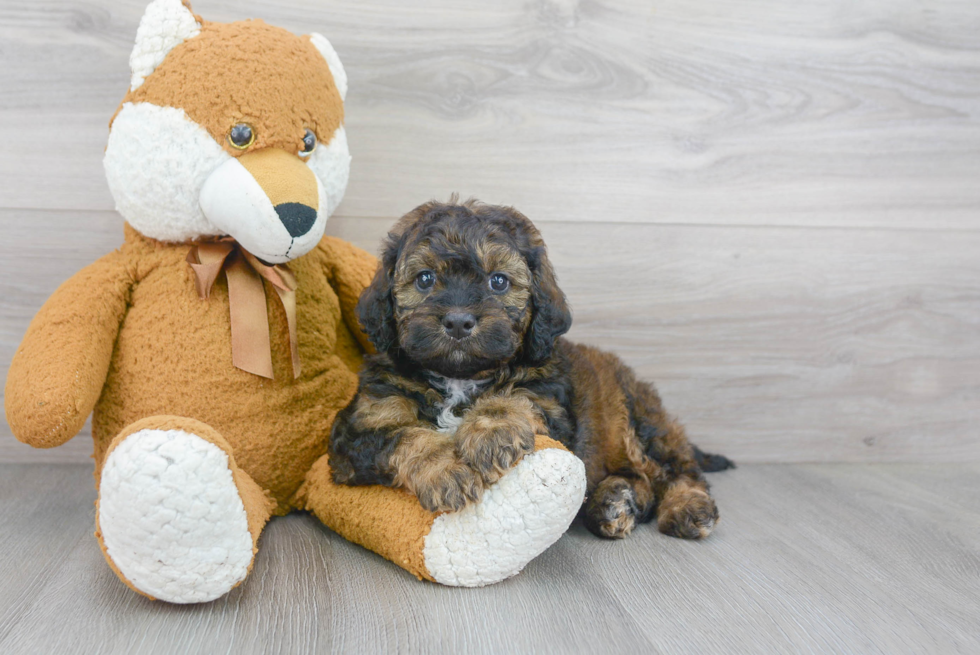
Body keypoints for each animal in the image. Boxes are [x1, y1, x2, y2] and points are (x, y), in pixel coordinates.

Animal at [332, 202, 736, 540]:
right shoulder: (359, 429)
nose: (459, 321)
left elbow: (516, 396)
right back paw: (614, 501)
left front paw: (491, 432)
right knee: (642, 479)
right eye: (425, 278)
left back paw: (685, 507)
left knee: (678, 471)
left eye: (498, 281)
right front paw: (445, 470)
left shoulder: (553, 405)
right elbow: (406, 436)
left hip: (640, 421)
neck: (459, 377)